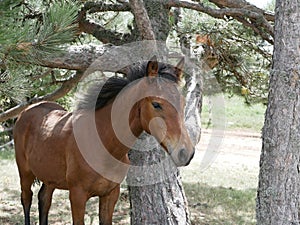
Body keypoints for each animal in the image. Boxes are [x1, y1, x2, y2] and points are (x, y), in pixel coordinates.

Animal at [13, 55, 195, 224]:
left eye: (183, 102)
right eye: (156, 104)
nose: (186, 153)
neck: (104, 145)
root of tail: (27, 110)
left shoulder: (110, 195)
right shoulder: (77, 195)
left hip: (49, 177)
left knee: (44, 199)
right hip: (25, 172)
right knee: (26, 199)